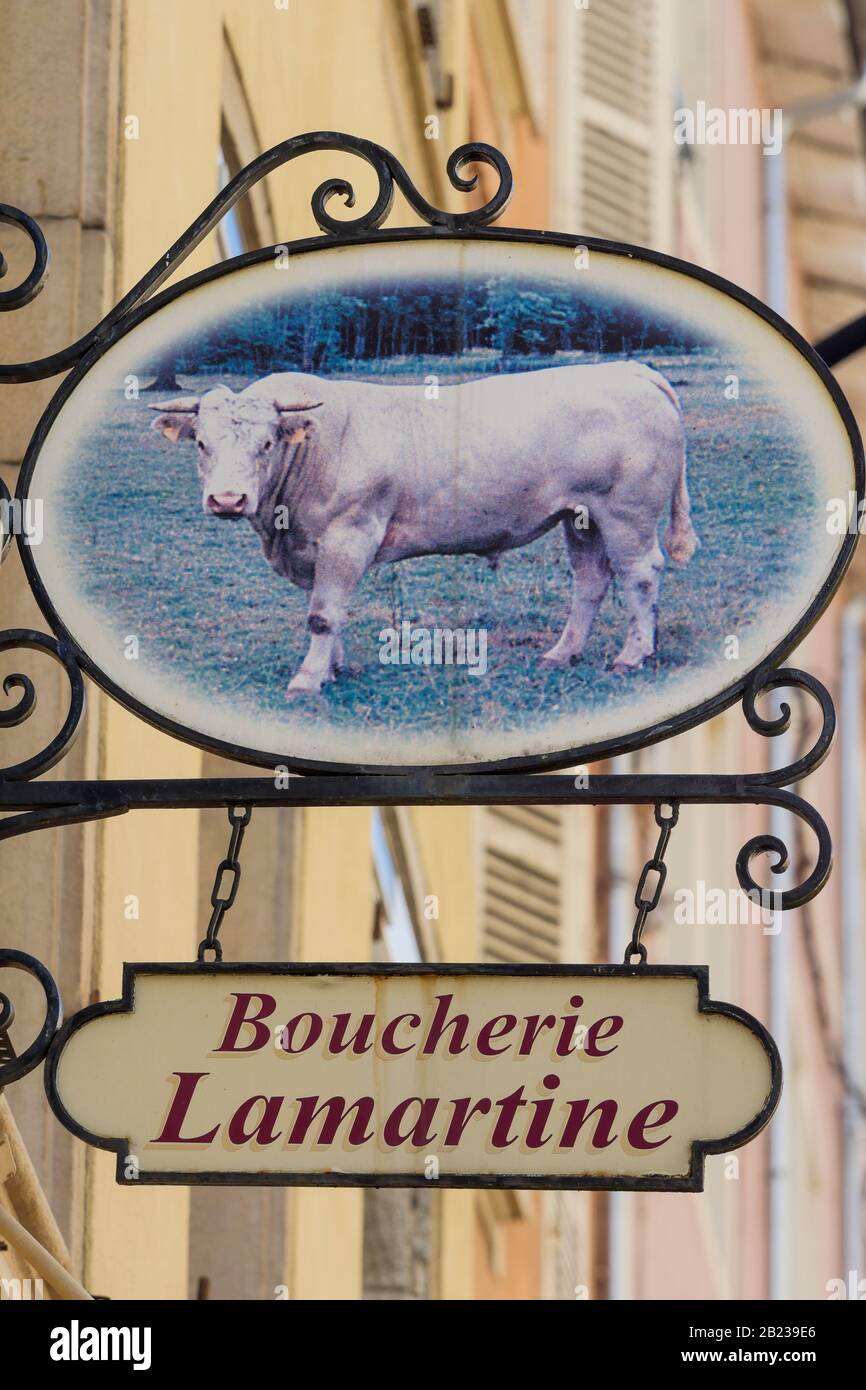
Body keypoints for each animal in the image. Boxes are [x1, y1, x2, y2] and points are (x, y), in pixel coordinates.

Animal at [152, 364, 700, 695]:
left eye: (266, 444)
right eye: (200, 443)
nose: (227, 500)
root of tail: (628, 369)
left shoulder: (349, 533)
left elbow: (323, 615)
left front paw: (307, 680)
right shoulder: (314, 546)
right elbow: (327, 609)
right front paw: (334, 669)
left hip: (626, 513)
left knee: (640, 575)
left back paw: (632, 656)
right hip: (581, 516)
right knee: (590, 581)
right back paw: (562, 654)